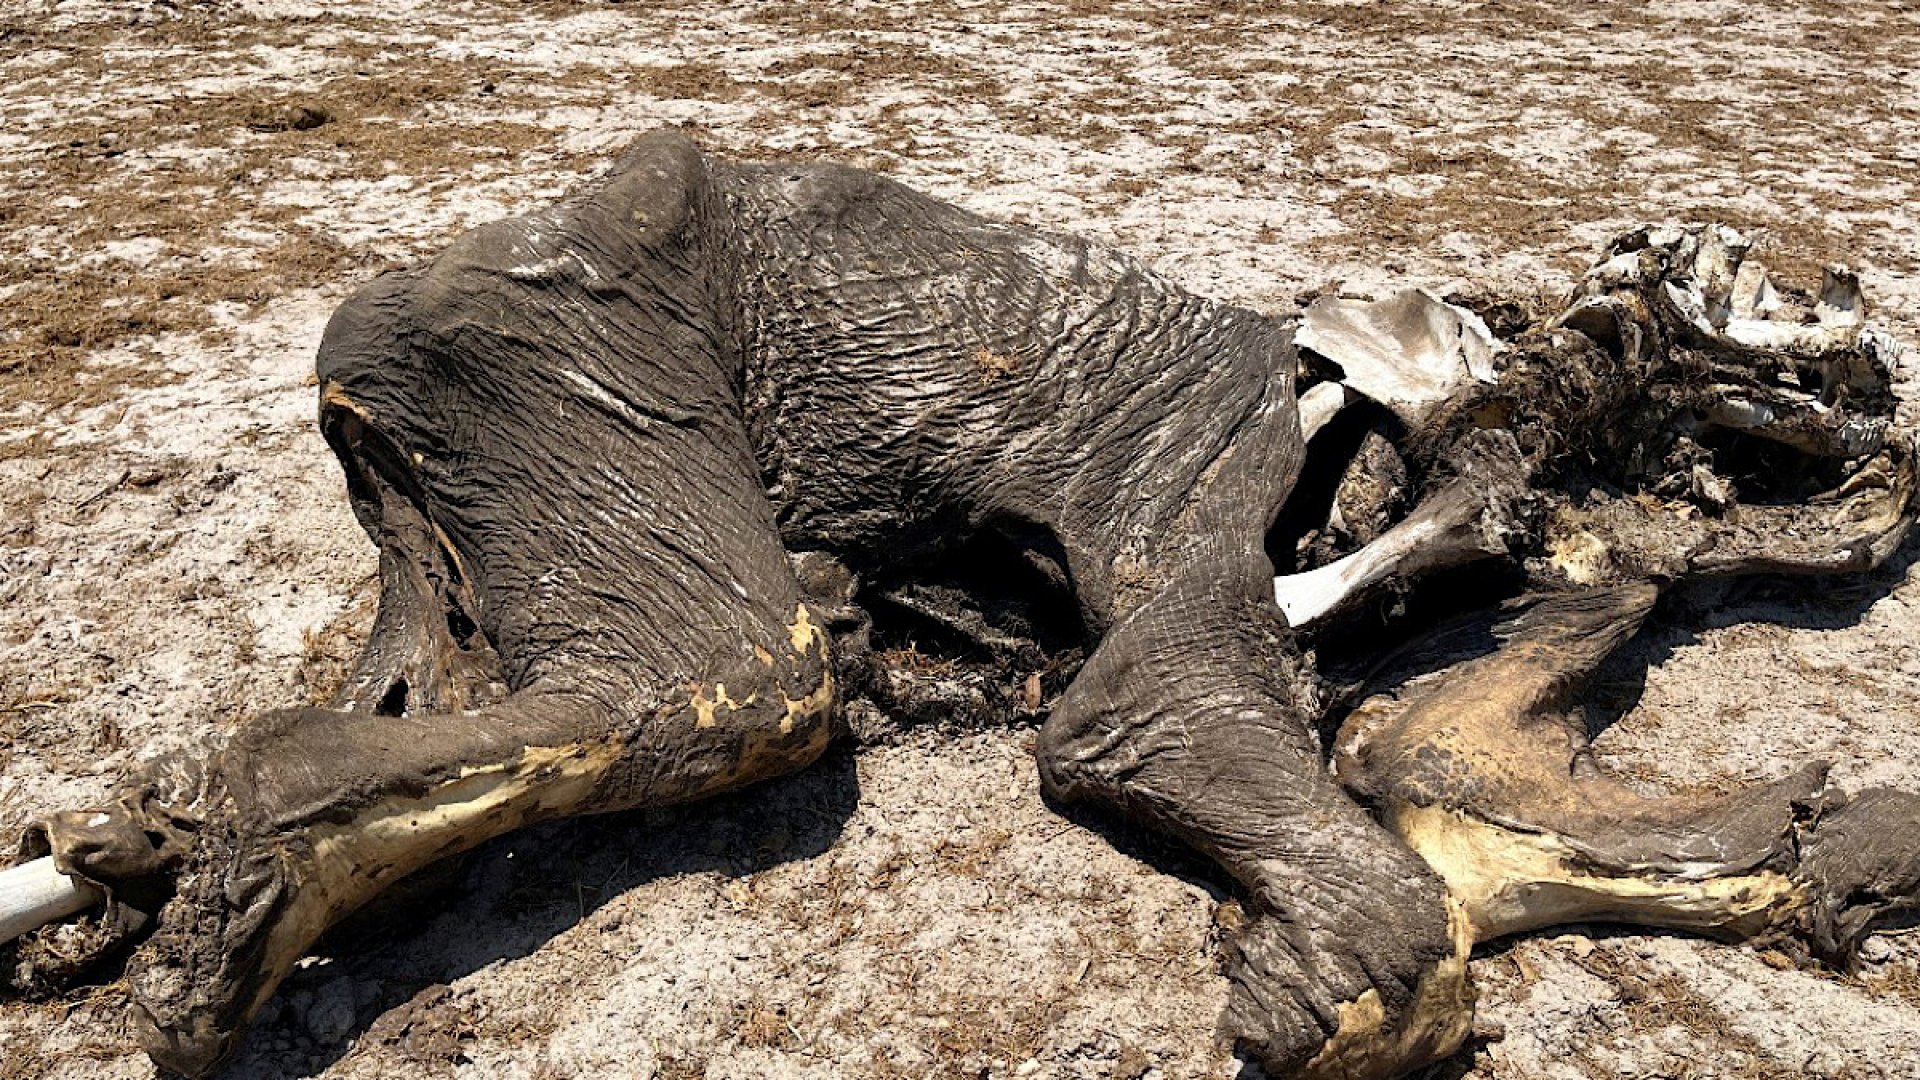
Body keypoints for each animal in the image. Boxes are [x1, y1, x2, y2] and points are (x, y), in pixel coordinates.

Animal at [9, 130, 1920, 1079]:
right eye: (1779, 316)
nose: (1872, 417)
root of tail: (370, 329)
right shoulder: (1208, 489)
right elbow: (1165, 727)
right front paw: (1323, 981)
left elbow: (1437, 778)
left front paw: (1837, 850)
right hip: (538, 357)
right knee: (729, 673)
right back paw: (223, 912)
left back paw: (149, 860)